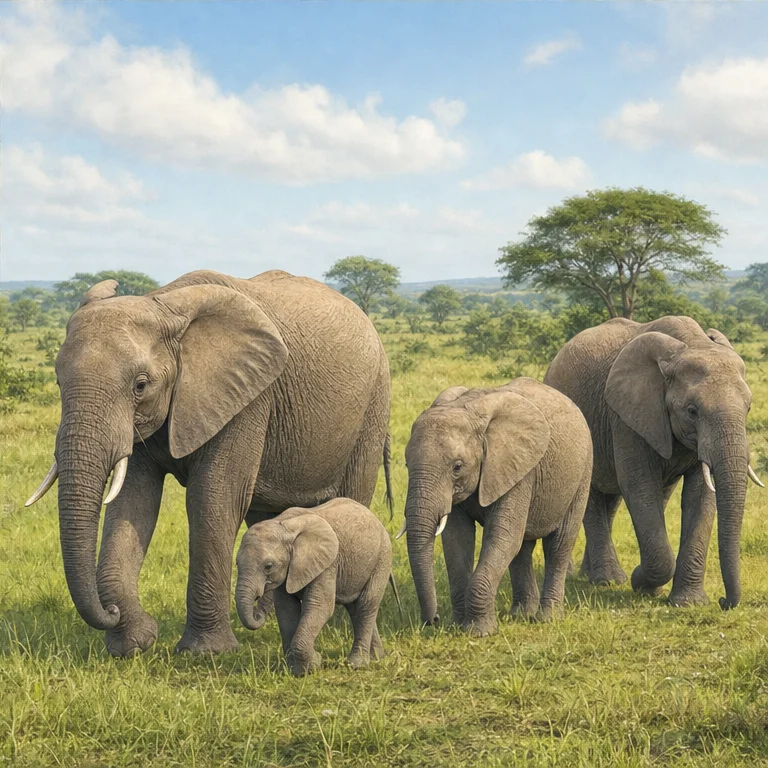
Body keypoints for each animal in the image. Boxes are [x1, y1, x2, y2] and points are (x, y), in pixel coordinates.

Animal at [26, 270, 392, 656]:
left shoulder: (249, 398)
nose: (109, 611)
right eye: (58, 381)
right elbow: (132, 502)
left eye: (141, 385)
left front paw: (205, 652)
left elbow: (212, 498)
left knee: (352, 496)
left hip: (373, 403)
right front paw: (132, 645)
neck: (163, 305)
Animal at [235, 498, 396, 676]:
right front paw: (294, 670)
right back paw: (377, 657)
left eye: (268, 566)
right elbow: (286, 610)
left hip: (382, 558)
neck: (284, 526)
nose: (257, 614)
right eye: (236, 564)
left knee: (366, 604)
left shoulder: (328, 564)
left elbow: (320, 606)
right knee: (356, 609)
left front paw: (312, 666)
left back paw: (356, 664)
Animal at [400, 378, 593, 636]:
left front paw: (479, 632)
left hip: (582, 474)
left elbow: (502, 535)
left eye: (457, 467)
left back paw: (546, 619)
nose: (434, 620)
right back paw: (520, 615)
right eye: (406, 464)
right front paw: (458, 626)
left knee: (558, 544)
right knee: (522, 549)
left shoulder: (519, 470)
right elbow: (457, 540)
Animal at [544, 315, 762, 610]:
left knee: (612, 500)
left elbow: (700, 495)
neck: (690, 343)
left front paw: (688, 603)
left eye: (748, 408)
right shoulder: (627, 415)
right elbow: (639, 485)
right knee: (593, 496)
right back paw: (607, 580)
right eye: (692, 411)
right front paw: (641, 583)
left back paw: (593, 575)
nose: (723, 600)